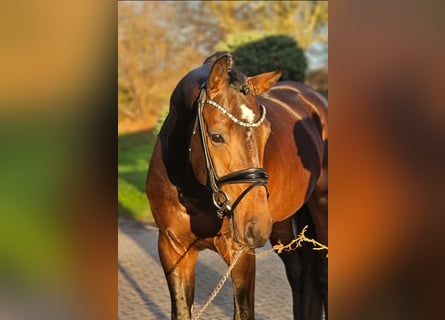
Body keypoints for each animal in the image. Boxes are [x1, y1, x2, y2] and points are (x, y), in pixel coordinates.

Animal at [146, 51, 326, 318]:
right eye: (216, 136)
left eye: (267, 133)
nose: (255, 226)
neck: (193, 193)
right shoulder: (172, 250)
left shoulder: (240, 254)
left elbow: (243, 311)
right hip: (282, 225)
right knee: (298, 273)